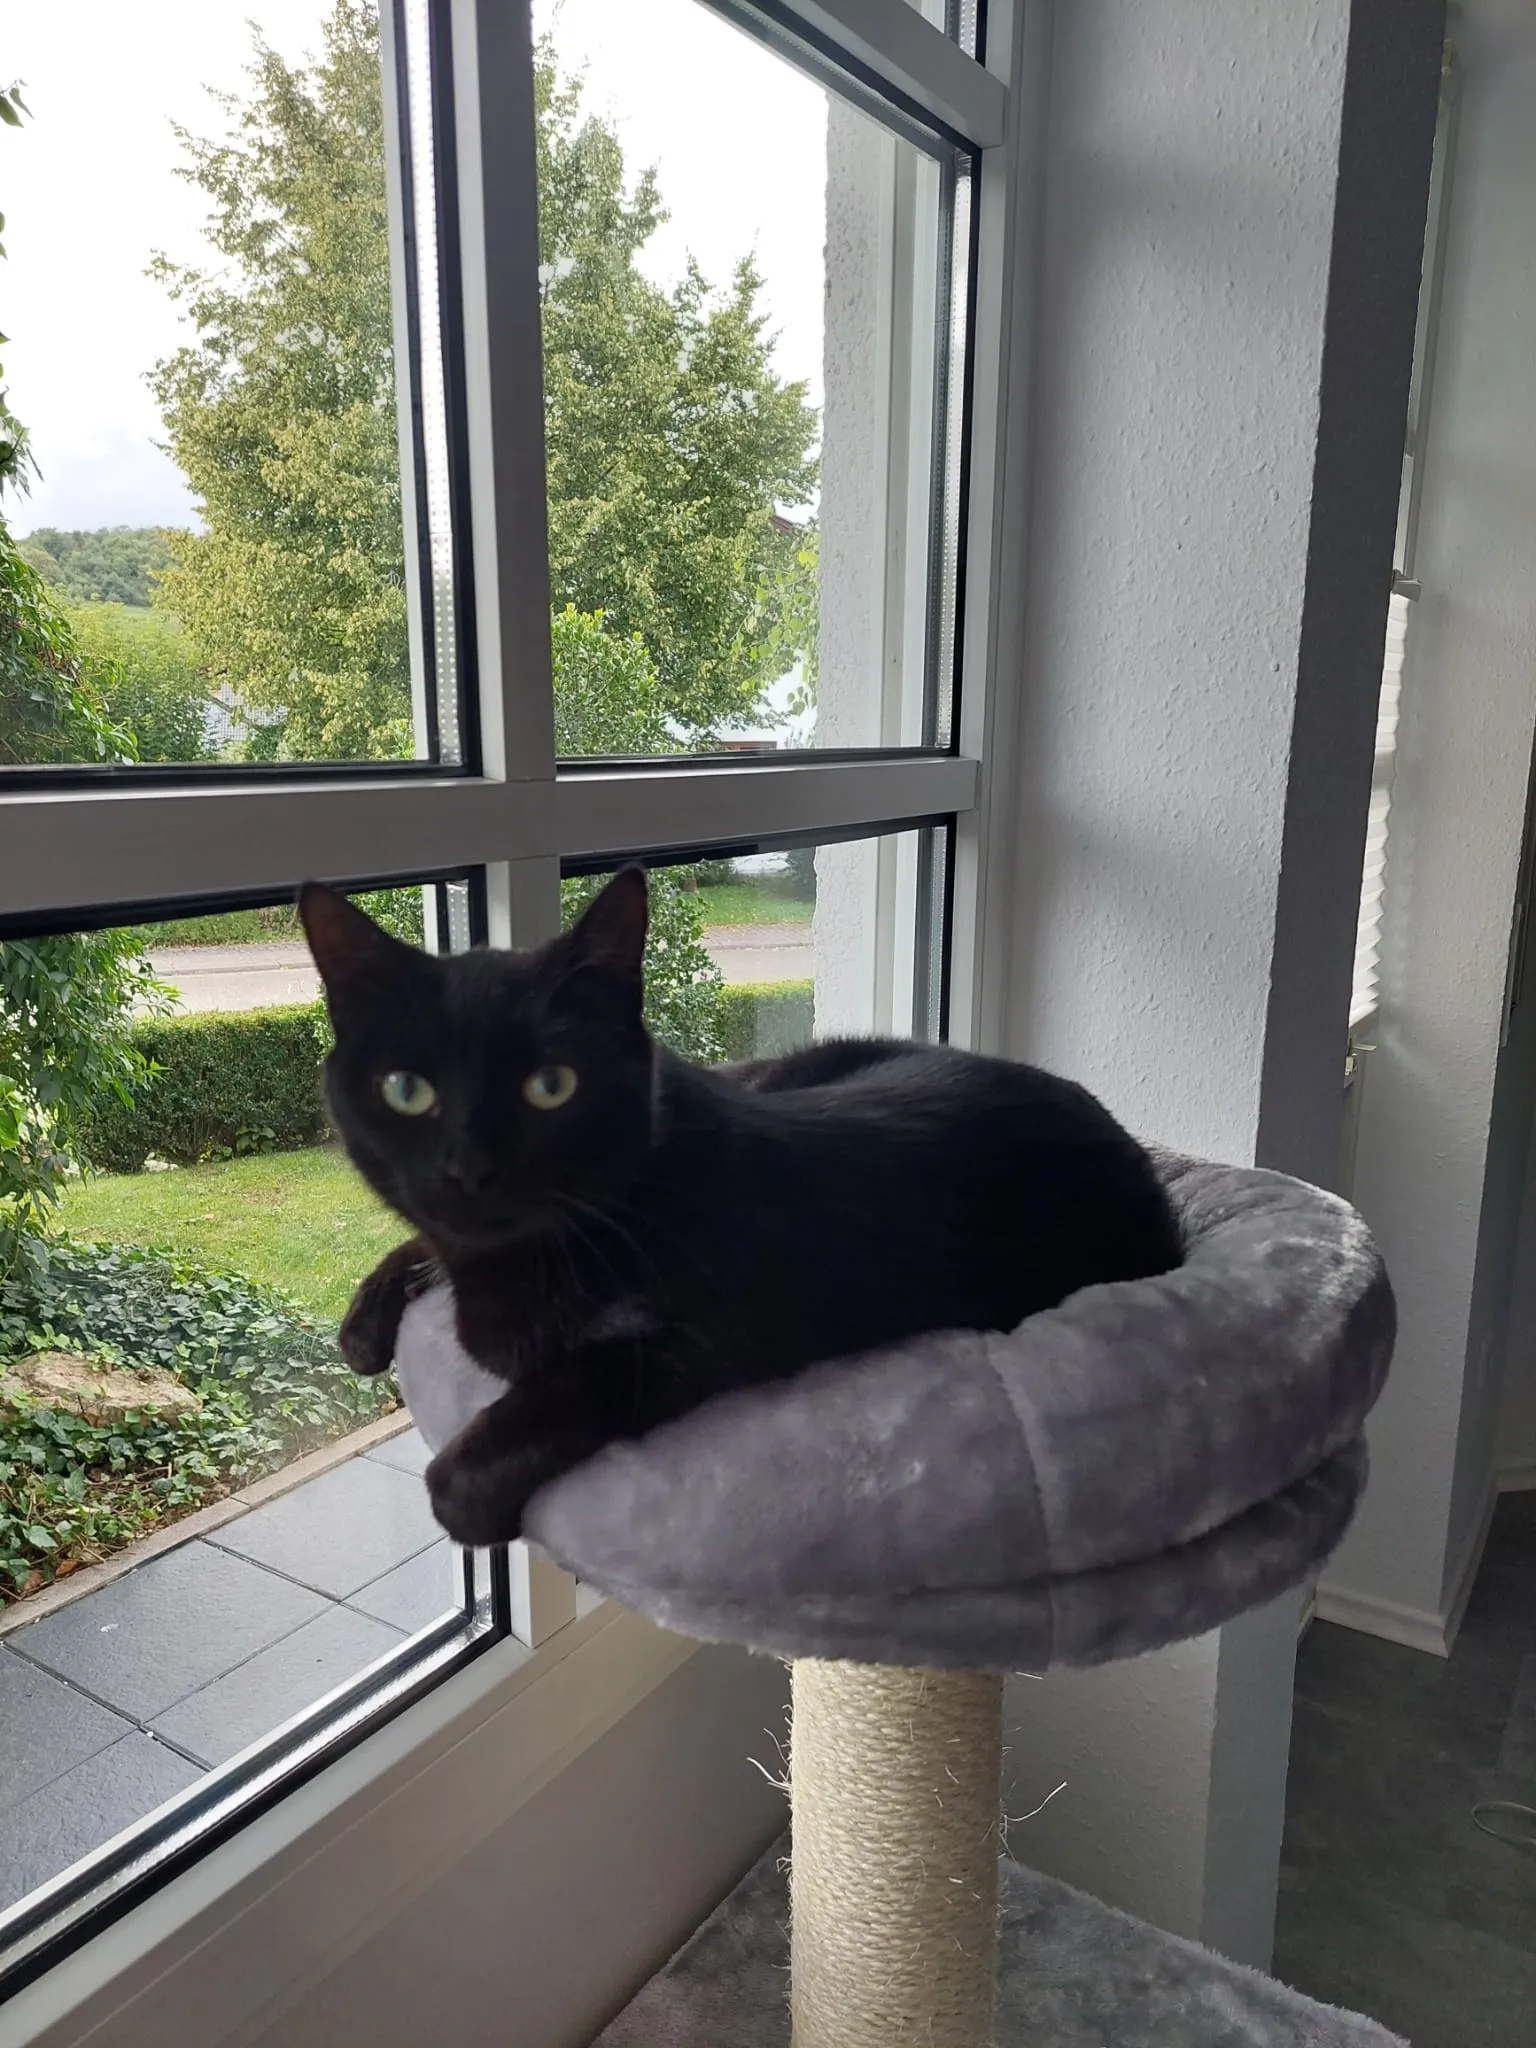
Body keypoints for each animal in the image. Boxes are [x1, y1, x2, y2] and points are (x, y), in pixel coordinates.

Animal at [299, 869, 1181, 1548]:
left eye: (552, 1085)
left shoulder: (705, 1339)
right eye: (406, 1090)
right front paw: (370, 1321)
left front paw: (468, 1499)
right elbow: (434, 1251)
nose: (469, 1171)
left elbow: (565, 1388)